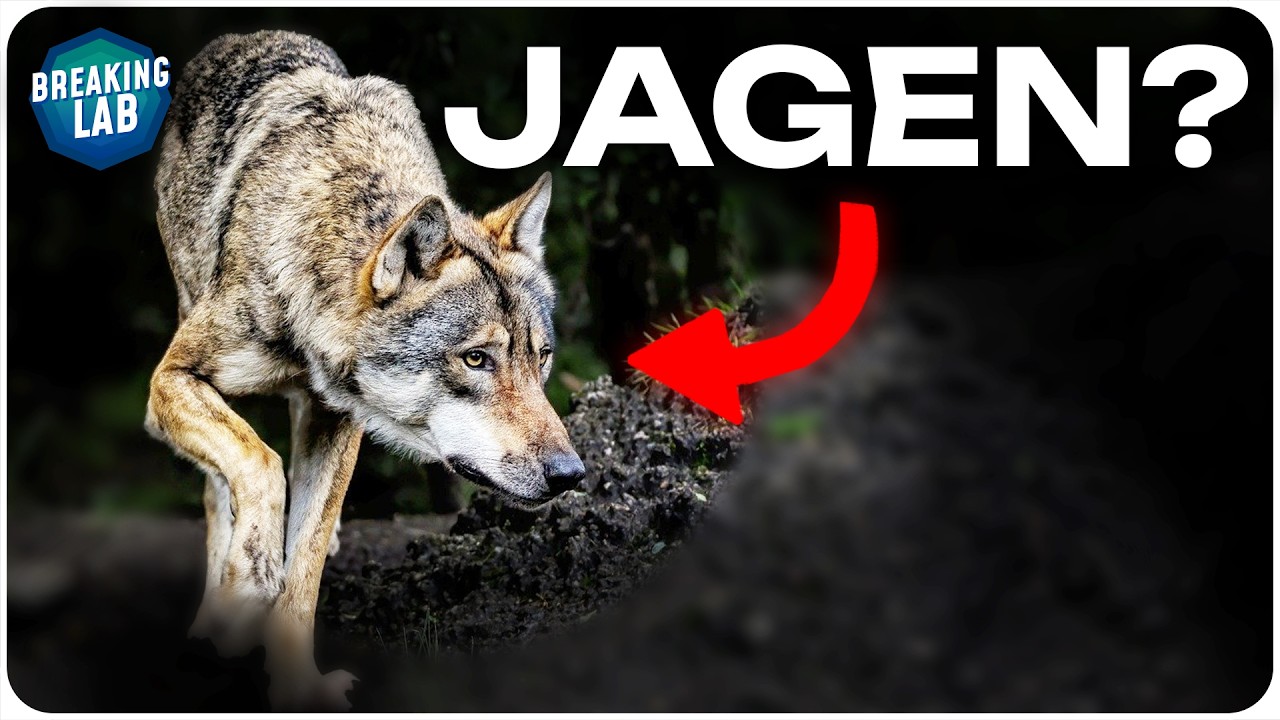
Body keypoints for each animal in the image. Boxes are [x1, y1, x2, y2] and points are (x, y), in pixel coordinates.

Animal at [146, 30, 585, 709]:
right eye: (476, 359)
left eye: (539, 359)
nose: (571, 474)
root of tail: (240, 37)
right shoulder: (170, 380)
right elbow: (259, 466)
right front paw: (249, 576)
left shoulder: (338, 420)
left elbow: (304, 569)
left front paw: (297, 686)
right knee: (219, 488)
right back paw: (216, 615)